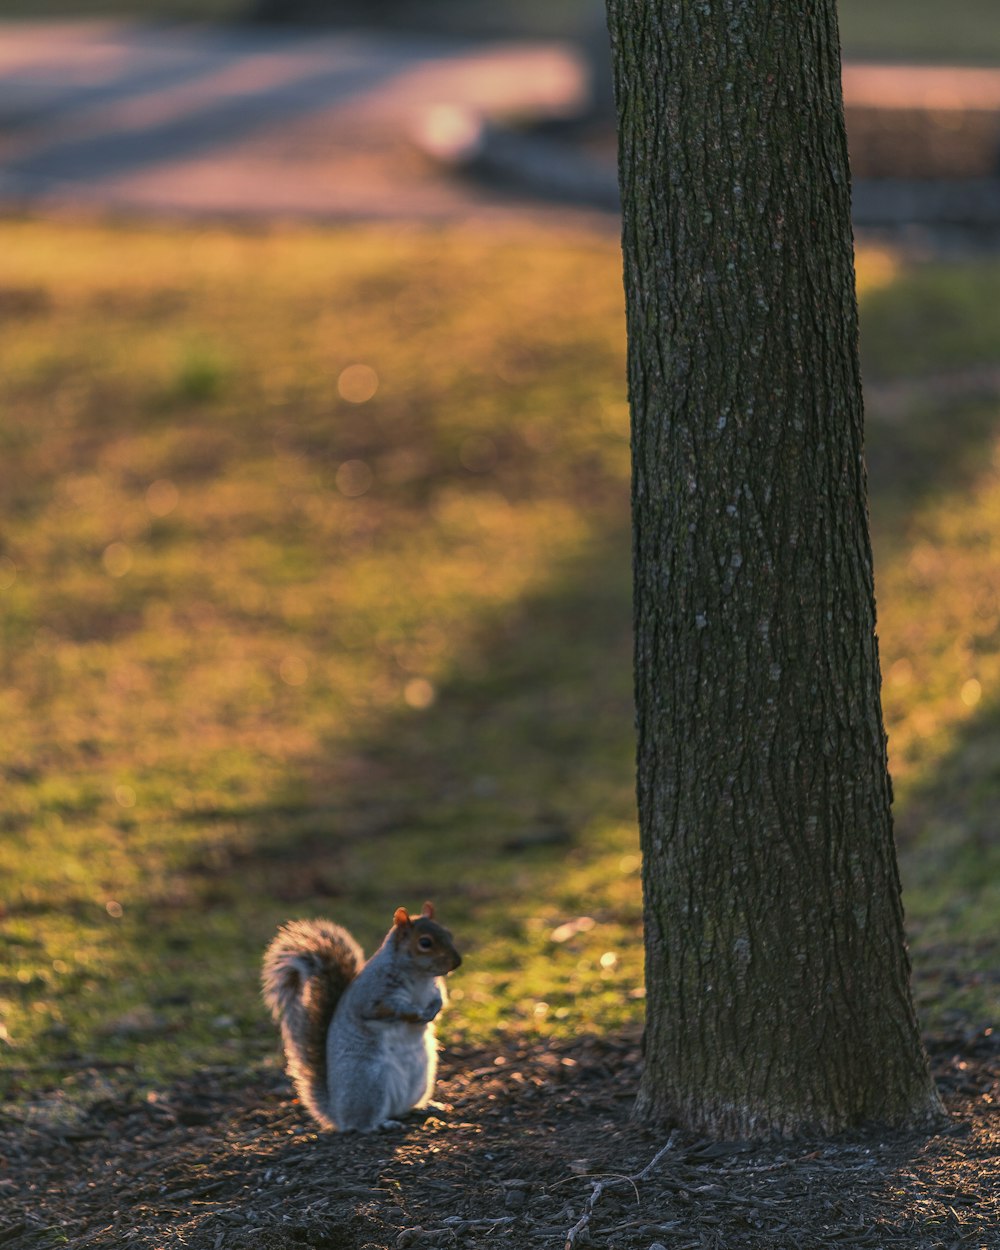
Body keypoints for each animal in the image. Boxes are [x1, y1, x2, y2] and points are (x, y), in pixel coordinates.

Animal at [260, 900, 460, 1135]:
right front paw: (416, 1014)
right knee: (363, 1122)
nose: (457, 962)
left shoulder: (435, 989)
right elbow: (388, 1009)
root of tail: (338, 1113)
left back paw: (426, 1107)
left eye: (448, 933)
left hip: (421, 1080)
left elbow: (440, 1000)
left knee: (402, 1108)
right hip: (370, 1081)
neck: (419, 977)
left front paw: (432, 1012)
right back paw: (382, 1123)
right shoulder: (372, 996)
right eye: (425, 942)